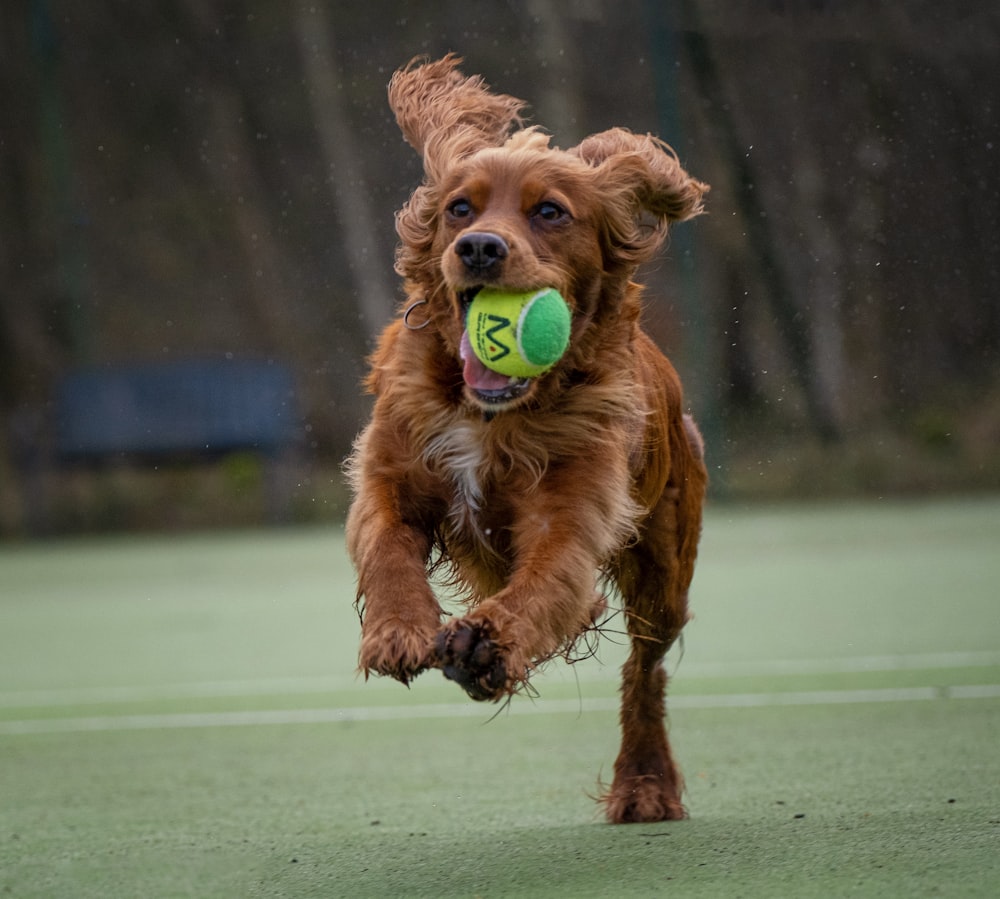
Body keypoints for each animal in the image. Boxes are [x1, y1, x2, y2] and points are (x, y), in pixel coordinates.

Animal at [348, 56, 708, 828]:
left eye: (550, 212)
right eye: (460, 208)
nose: (480, 247)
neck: (493, 415)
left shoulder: (569, 519)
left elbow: (544, 584)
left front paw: (486, 645)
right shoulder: (390, 476)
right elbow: (388, 548)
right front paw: (396, 629)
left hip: (664, 566)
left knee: (643, 669)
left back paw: (645, 783)